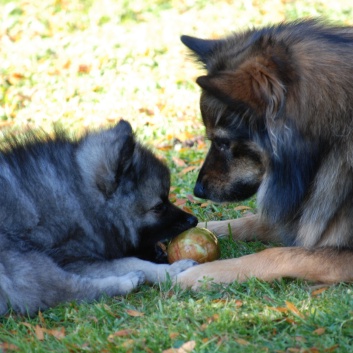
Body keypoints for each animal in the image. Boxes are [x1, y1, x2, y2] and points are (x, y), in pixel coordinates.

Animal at [0, 120, 197, 314]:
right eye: (159, 207)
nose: (193, 221)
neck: (81, 198)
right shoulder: (72, 258)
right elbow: (129, 262)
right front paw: (170, 271)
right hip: (22, 256)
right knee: (64, 291)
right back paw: (129, 281)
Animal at [176, 19, 353, 288]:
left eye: (223, 142)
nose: (198, 191)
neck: (331, 141)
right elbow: (247, 221)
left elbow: (278, 254)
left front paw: (203, 274)